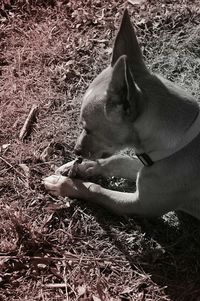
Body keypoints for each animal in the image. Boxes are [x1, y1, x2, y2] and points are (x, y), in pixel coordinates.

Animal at [43, 7, 200, 218]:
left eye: (88, 129)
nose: (76, 150)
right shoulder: (144, 165)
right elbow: (118, 159)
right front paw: (83, 167)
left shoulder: (140, 205)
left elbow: (95, 190)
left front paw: (65, 184)